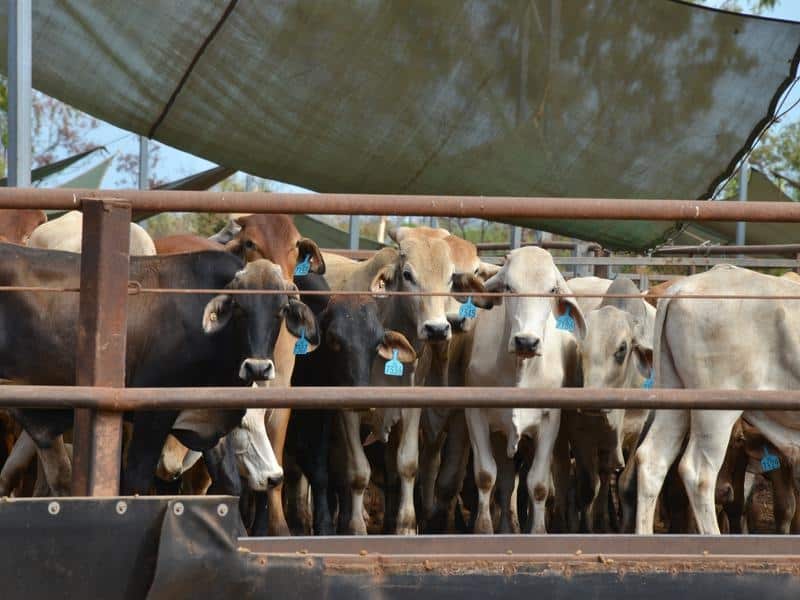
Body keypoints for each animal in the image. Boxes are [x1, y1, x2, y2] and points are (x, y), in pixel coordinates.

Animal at [0, 244, 318, 498]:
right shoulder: (152, 415)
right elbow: (137, 480)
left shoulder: (208, 417)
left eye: (281, 309)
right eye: (239, 307)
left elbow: (229, 482)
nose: (258, 367)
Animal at [464, 246, 586, 534]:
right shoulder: (475, 413)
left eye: (552, 289)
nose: (526, 342)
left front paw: (538, 530)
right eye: (509, 286)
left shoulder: (550, 420)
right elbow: (486, 475)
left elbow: (538, 485)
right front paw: (483, 529)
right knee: (507, 481)